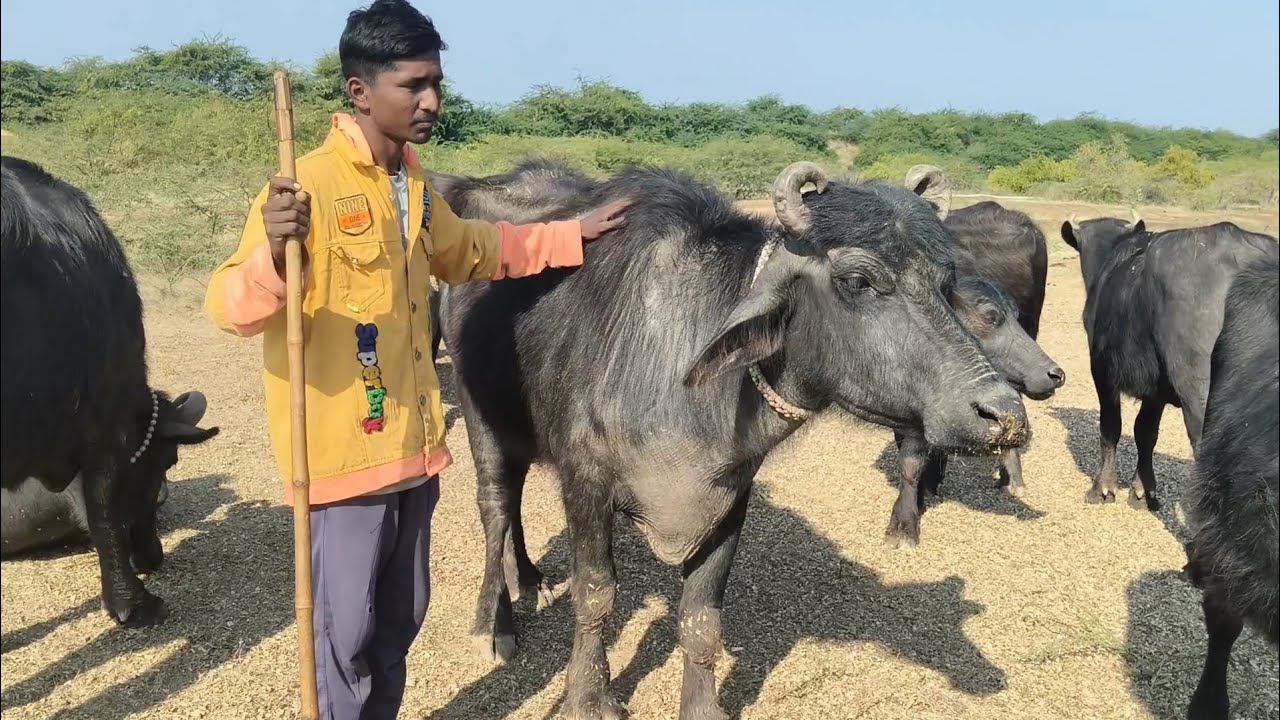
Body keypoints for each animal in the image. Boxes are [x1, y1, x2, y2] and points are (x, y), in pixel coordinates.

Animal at [434, 158, 1029, 719]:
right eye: (859, 280)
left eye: (945, 284)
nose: (1005, 416)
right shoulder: (587, 484)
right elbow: (596, 595)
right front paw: (586, 698)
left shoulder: (729, 498)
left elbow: (701, 618)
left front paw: (701, 705)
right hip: (478, 416)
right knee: (496, 506)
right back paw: (494, 622)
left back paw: (529, 577)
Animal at [1061, 214, 1278, 509]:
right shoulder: (1156, 391)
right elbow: (1145, 432)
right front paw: (1142, 491)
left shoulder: (1102, 371)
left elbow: (1111, 426)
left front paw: (1103, 489)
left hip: (1198, 392)